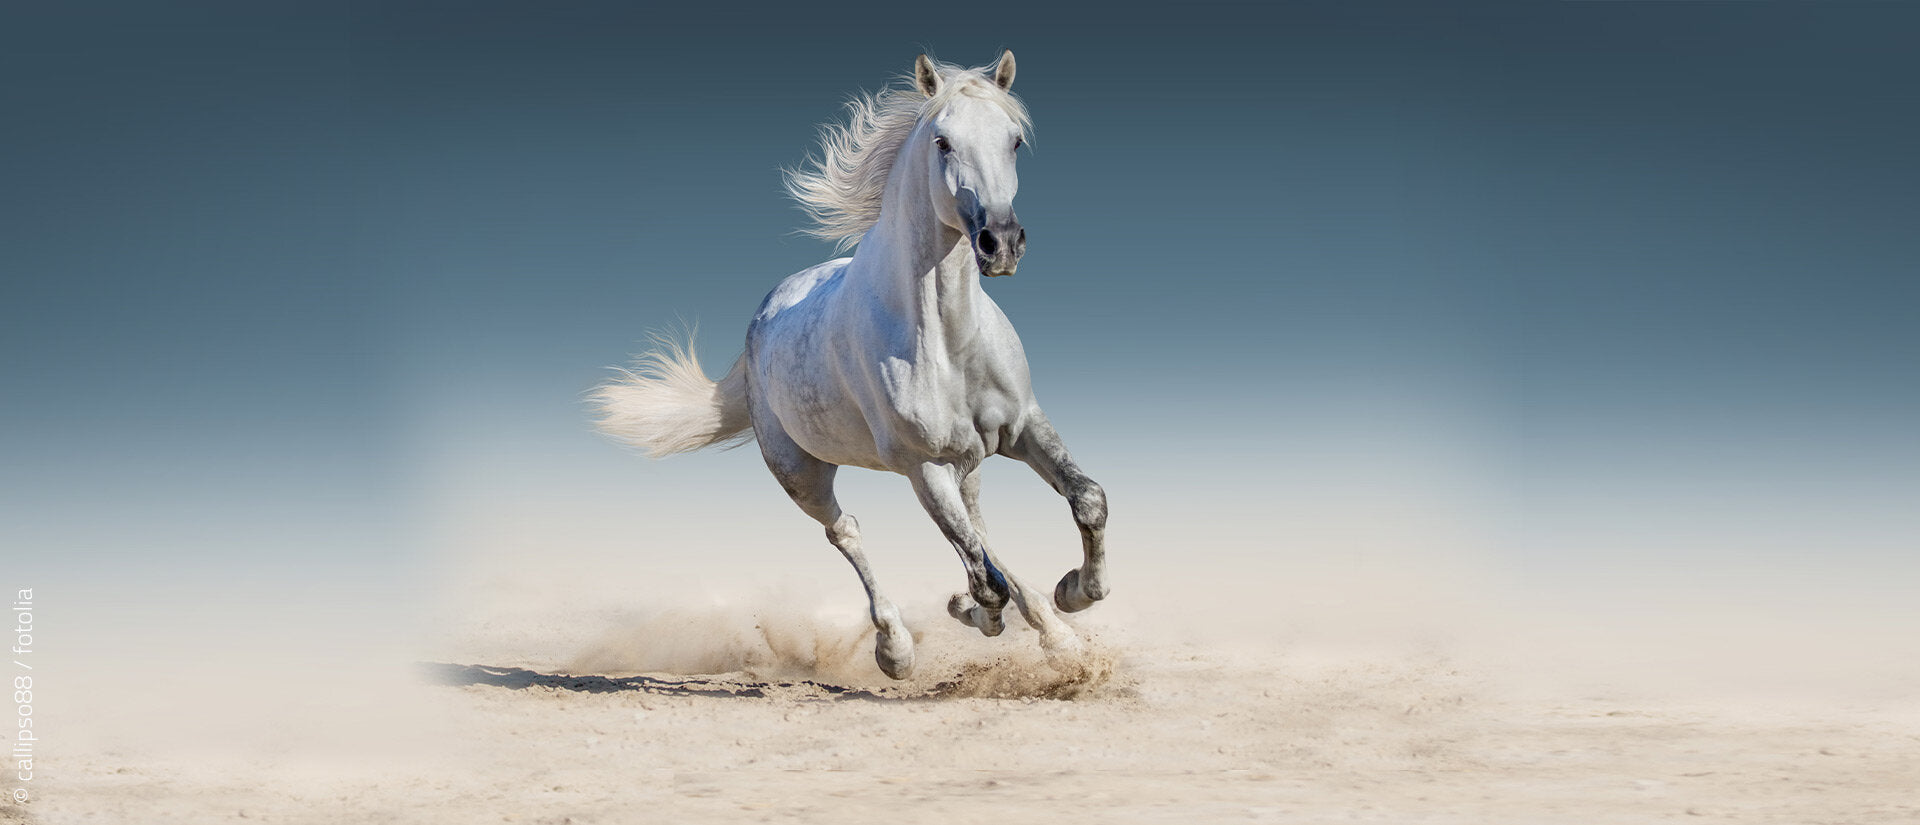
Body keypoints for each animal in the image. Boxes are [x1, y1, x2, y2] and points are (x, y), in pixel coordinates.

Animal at [591, 52, 1107, 679]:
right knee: (849, 533)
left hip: (966, 462)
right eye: (942, 142)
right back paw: (896, 649)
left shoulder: (1023, 425)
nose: (1000, 243)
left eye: (1014, 141)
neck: (947, 339)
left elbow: (1086, 501)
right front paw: (979, 614)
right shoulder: (923, 466)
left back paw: (1055, 633)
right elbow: (984, 579)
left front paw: (1073, 594)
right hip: (802, 474)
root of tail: (762, 317)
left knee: (978, 528)